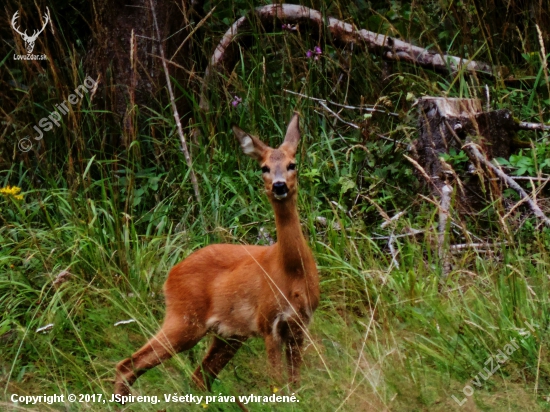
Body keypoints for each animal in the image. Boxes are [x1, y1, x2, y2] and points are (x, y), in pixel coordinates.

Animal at [115, 113, 322, 396]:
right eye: (264, 168)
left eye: (292, 164)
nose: (279, 186)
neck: (291, 271)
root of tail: (170, 275)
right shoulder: (268, 322)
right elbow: (276, 383)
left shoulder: (300, 324)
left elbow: (295, 384)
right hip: (185, 319)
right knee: (128, 364)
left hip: (228, 334)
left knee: (198, 377)